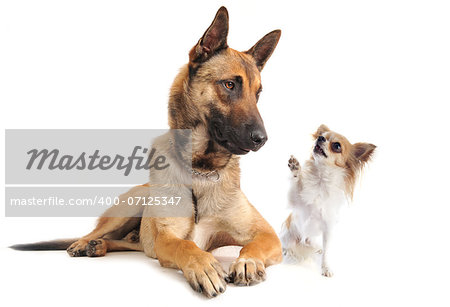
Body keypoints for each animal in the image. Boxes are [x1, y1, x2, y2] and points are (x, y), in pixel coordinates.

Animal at [11, 6, 282, 298]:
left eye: (258, 94)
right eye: (230, 85)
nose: (262, 139)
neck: (201, 170)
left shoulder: (267, 234)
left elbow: (252, 245)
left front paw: (247, 262)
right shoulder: (168, 237)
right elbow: (187, 246)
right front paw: (204, 267)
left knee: (130, 243)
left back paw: (99, 246)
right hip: (129, 208)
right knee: (97, 232)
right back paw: (84, 244)